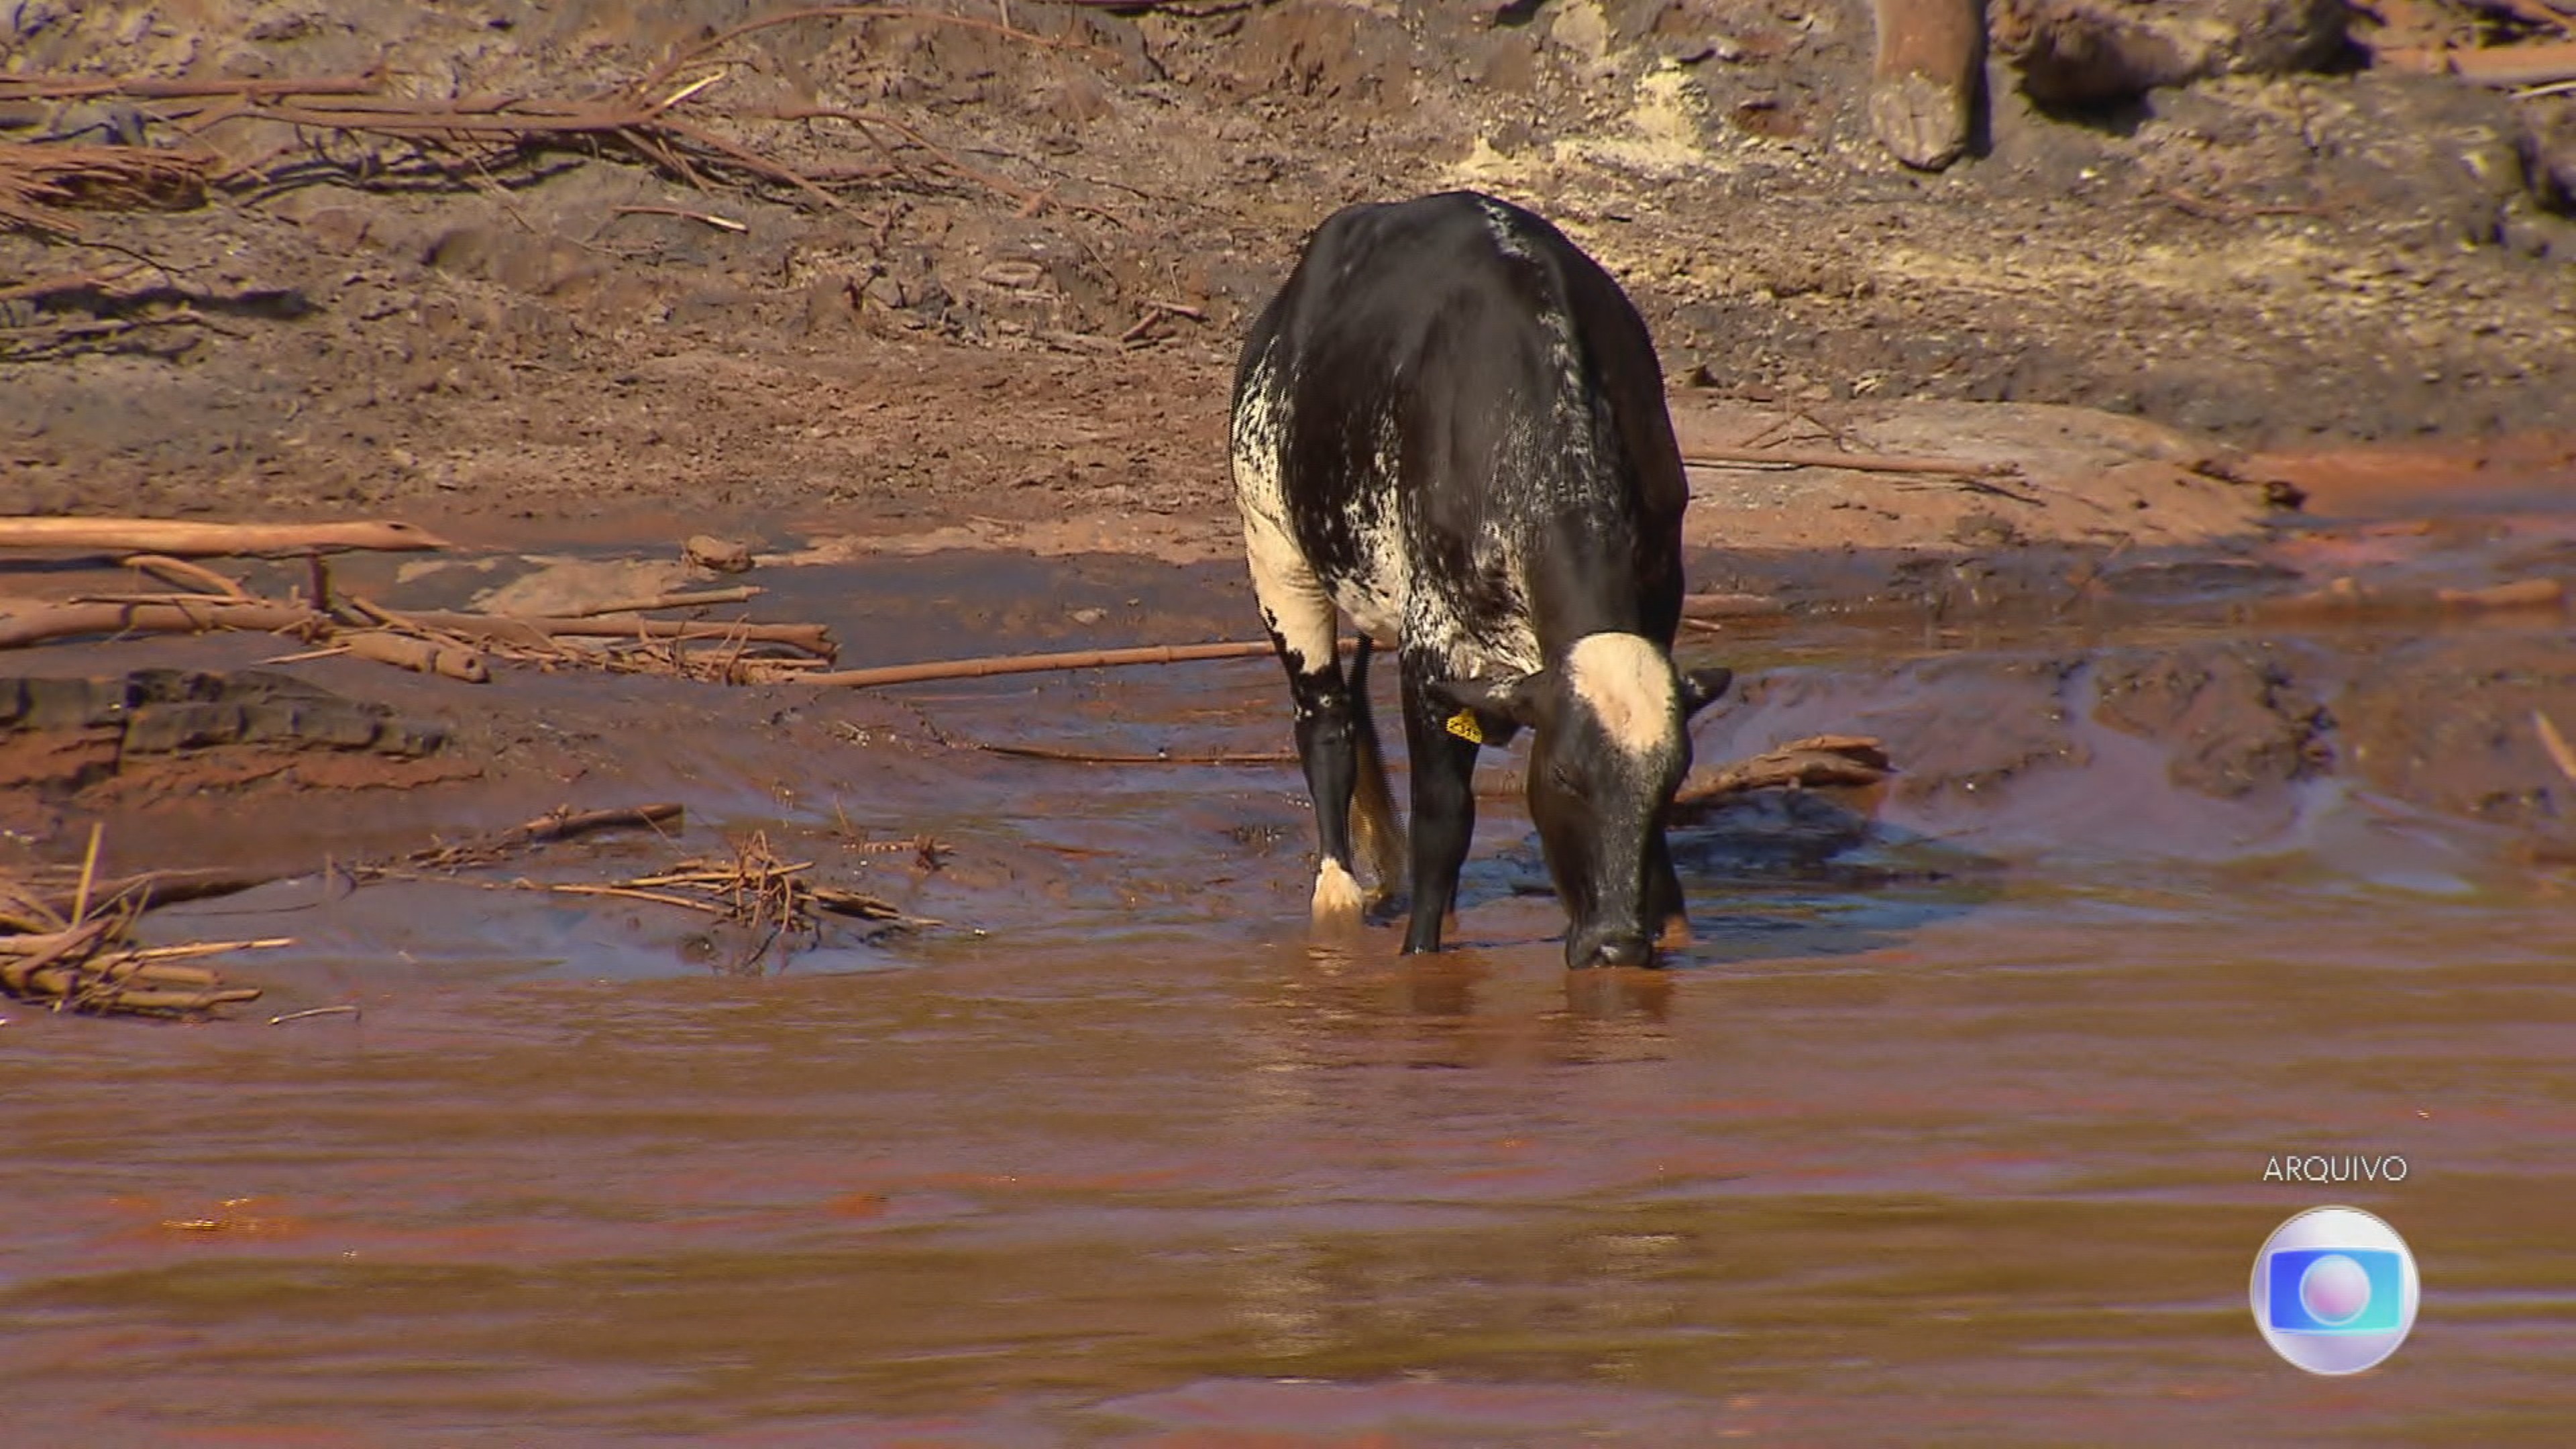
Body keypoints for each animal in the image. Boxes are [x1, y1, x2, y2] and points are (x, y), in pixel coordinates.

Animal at [1226, 185, 1731, 964]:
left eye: (1673, 781)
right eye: (1563, 775)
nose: (1614, 946)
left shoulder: (1659, 598)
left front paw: (1669, 921)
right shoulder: (1434, 648)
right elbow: (1442, 820)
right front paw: (1419, 955)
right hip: (1275, 548)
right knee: (1326, 723)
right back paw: (1337, 899)